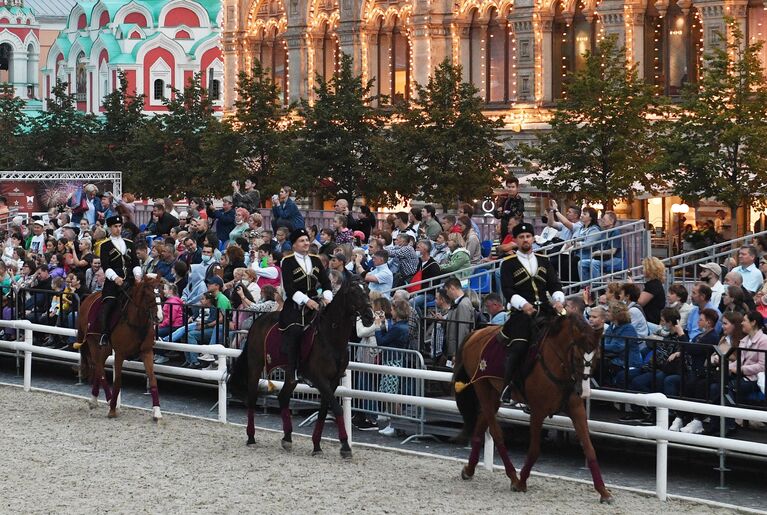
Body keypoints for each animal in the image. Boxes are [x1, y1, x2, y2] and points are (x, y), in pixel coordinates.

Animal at [76, 276, 165, 422]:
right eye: (148, 295)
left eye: (162, 294)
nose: (159, 317)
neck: (136, 321)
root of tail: (89, 297)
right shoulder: (119, 354)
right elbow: (117, 381)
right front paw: (112, 410)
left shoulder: (147, 352)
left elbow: (152, 378)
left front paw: (157, 412)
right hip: (93, 343)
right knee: (99, 368)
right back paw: (108, 400)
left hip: (105, 349)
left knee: (98, 369)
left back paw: (95, 399)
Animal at [226, 280, 374, 458]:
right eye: (353, 292)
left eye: (368, 290)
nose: (370, 317)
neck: (331, 339)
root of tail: (260, 319)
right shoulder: (319, 379)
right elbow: (337, 408)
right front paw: (345, 446)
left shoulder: (333, 381)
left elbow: (324, 411)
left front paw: (317, 445)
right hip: (256, 365)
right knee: (253, 397)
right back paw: (251, 437)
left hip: (290, 374)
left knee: (283, 397)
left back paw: (287, 438)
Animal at [452, 314, 616, 504]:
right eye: (576, 357)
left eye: (597, 357)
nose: (584, 392)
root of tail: (476, 333)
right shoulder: (538, 412)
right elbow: (535, 450)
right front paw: (521, 482)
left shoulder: (577, 410)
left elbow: (590, 449)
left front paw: (603, 492)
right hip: (482, 388)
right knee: (496, 432)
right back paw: (512, 476)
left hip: (493, 394)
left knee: (480, 428)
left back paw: (469, 470)